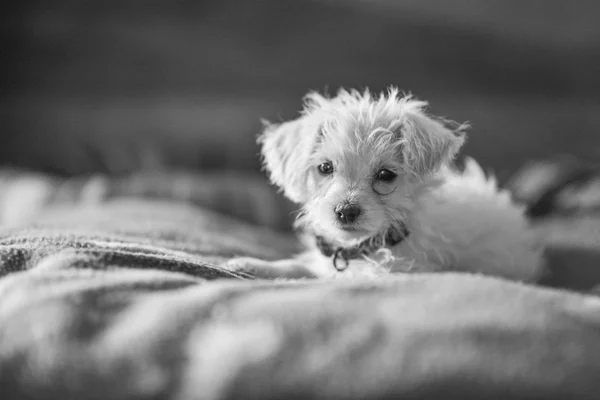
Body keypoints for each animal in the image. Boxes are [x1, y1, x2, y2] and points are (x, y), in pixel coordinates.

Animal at [227, 87, 548, 282]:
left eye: (385, 175)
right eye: (325, 168)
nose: (346, 211)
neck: (362, 249)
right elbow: (300, 266)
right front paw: (250, 265)